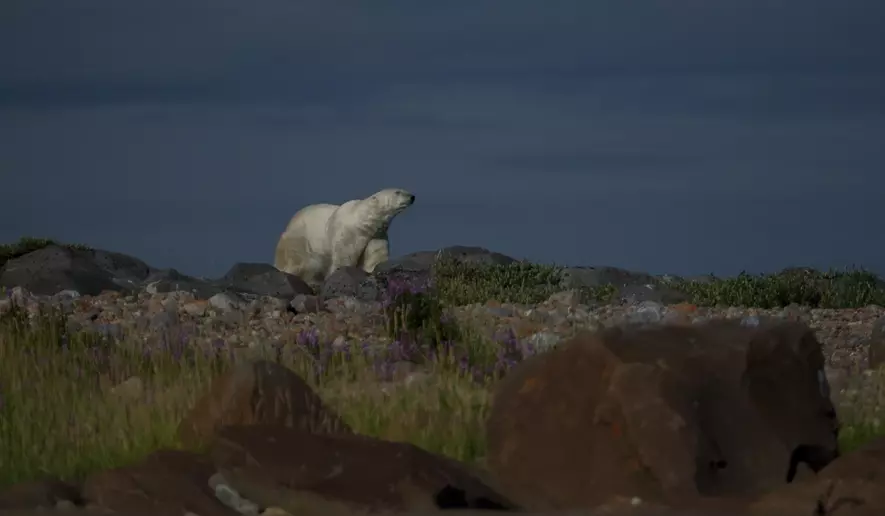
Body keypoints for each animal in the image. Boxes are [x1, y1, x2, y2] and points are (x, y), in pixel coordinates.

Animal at [274, 188, 416, 286]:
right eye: (397, 192)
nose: (412, 196)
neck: (364, 222)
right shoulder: (349, 232)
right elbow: (344, 256)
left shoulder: (376, 234)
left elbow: (375, 255)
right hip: (299, 239)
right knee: (305, 262)